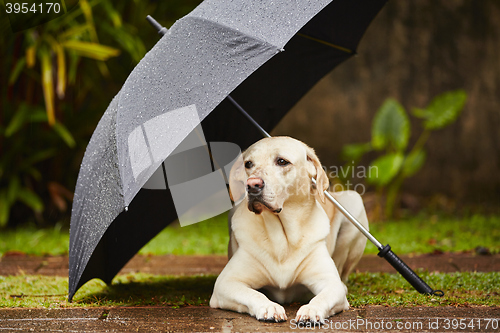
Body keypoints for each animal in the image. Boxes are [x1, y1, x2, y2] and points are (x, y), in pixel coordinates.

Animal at [209, 135, 370, 322]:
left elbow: (323, 296)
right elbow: (254, 294)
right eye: (248, 164)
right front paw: (269, 306)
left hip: (354, 202)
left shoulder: (330, 282)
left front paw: (311, 309)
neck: (283, 237)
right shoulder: (225, 283)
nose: (252, 184)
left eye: (282, 161)